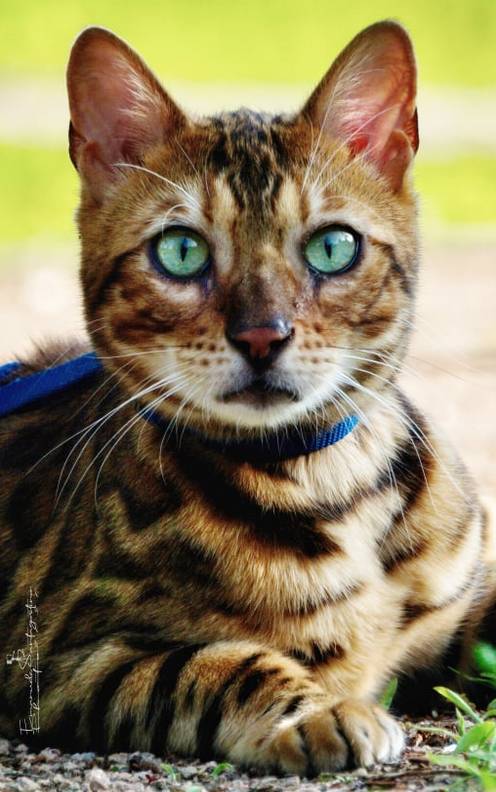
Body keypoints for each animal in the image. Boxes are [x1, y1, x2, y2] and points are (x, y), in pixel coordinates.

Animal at [0, 21, 494, 776]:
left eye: (332, 247)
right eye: (180, 252)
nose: (263, 335)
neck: (330, 483)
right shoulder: (57, 660)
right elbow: (215, 665)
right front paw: (318, 709)